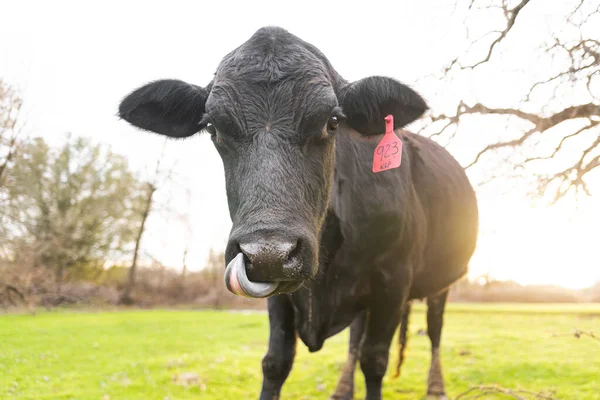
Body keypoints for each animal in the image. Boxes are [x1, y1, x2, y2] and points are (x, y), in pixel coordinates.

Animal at [119, 27, 480, 400]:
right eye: (211, 127)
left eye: (333, 121)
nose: (269, 254)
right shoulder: (281, 301)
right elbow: (276, 361)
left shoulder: (393, 282)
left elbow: (375, 360)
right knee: (355, 337)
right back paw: (343, 388)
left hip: (441, 282)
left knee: (434, 329)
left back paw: (436, 386)